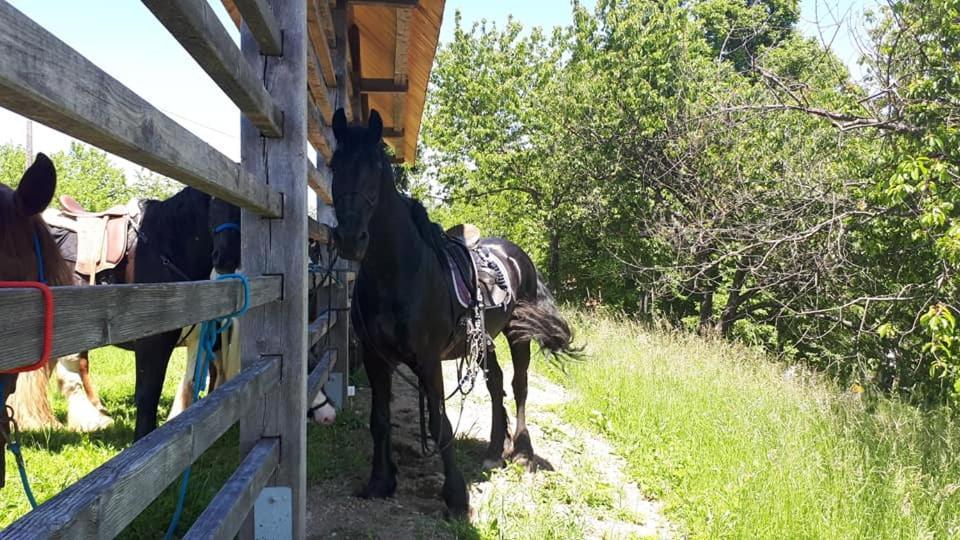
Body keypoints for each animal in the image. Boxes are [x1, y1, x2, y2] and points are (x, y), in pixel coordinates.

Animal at [330, 107, 576, 516]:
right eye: (335, 165)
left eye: (376, 168)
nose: (350, 238)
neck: (397, 272)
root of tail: (517, 255)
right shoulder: (376, 357)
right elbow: (379, 420)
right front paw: (380, 481)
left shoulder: (429, 360)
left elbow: (441, 423)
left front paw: (457, 496)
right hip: (484, 342)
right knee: (495, 384)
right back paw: (494, 450)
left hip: (517, 335)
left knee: (519, 386)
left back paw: (522, 452)